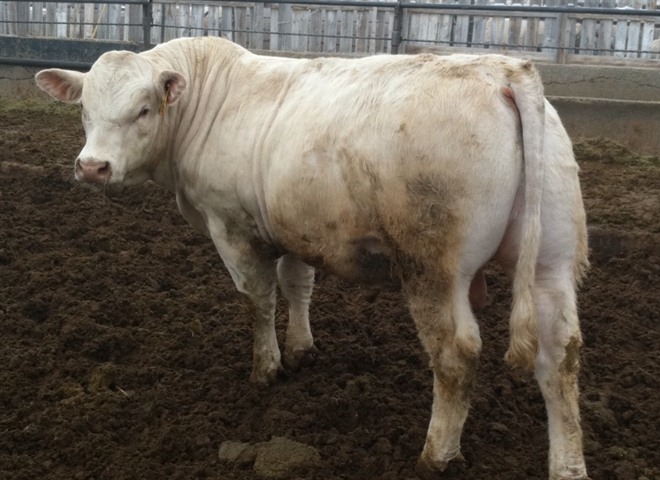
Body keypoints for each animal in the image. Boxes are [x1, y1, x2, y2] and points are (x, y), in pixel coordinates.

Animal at [35, 36, 590, 480]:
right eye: (84, 108)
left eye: (144, 109)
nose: (92, 167)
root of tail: (503, 70)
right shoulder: (292, 228)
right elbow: (297, 285)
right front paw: (301, 349)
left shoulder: (231, 227)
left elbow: (257, 299)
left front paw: (266, 368)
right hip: (552, 262)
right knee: (560, 355)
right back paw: (567, 465)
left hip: (433, 269)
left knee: (456, 353)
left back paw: (436, 455)